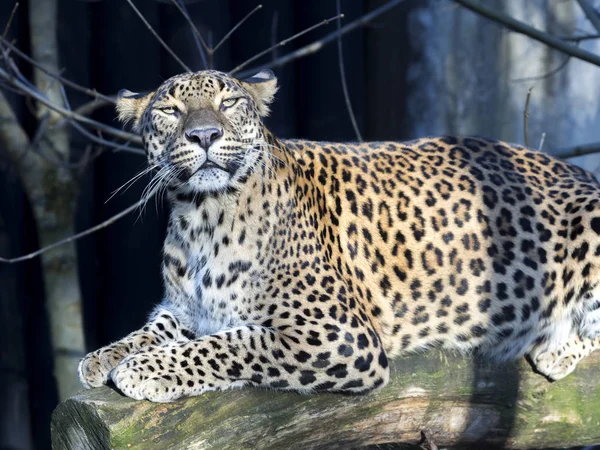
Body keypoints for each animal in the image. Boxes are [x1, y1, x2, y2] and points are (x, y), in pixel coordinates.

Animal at [78, 69, 600, 400]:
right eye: (170, 110)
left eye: (229, 103)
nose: (203, 135)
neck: (201, 217)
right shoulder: (184, 307)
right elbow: (153, 330)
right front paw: (103, 357)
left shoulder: (337, 335)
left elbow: (230, 343)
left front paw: (142, 370)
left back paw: (555, 347)